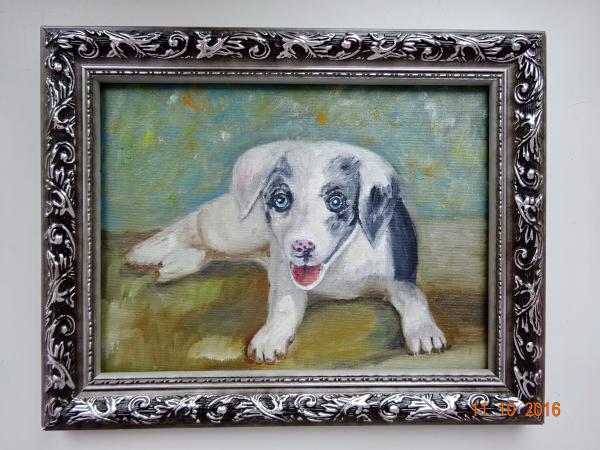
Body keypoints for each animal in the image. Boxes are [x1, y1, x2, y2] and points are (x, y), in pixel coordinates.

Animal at [126, 140, 447, 363]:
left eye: (336, 201)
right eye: (281, 200)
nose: (301, 246)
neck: (339, 263)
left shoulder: (400, 279)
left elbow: (415, 299)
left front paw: (424, 331)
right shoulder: (288, 283)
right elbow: (284, 306)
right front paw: (271, 336)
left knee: (212, 249)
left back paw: (176, 264)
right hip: (237, 228)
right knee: (197, 224)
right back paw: (149, 250)